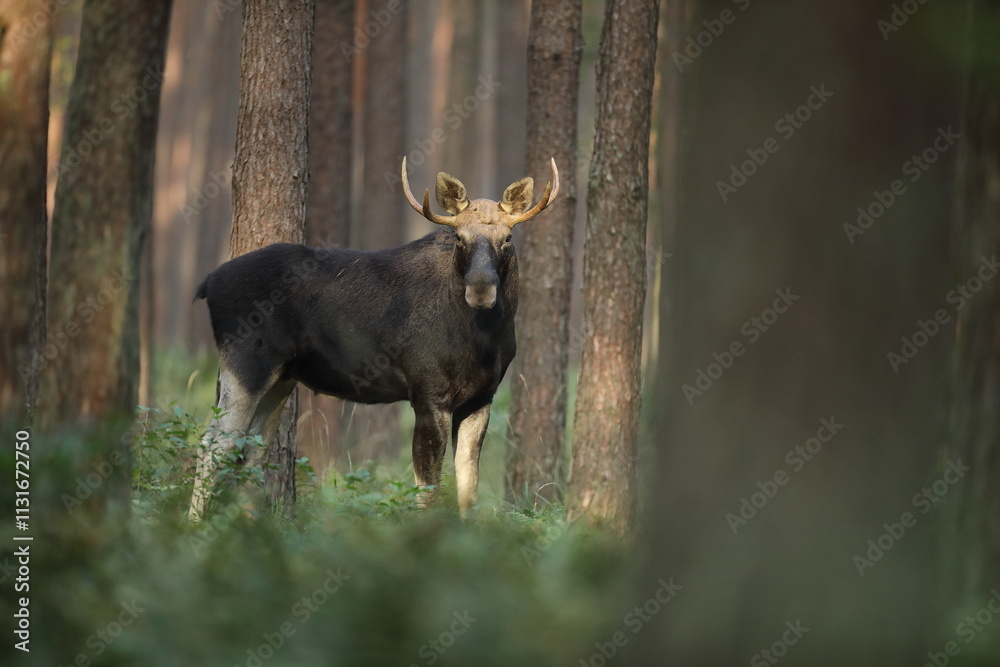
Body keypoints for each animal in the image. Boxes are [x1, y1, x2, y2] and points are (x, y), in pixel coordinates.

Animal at [188, 158, 559, 520]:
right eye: (459, 237)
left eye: (507, 238)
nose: (480, 289)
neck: (483, 340)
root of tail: (208, 283)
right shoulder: (428, 394)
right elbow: (427, 491)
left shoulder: (482, 397)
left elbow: (467, 489)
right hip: (245, 365)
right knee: (213, 443)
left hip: (281, 378)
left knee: (252, 449)